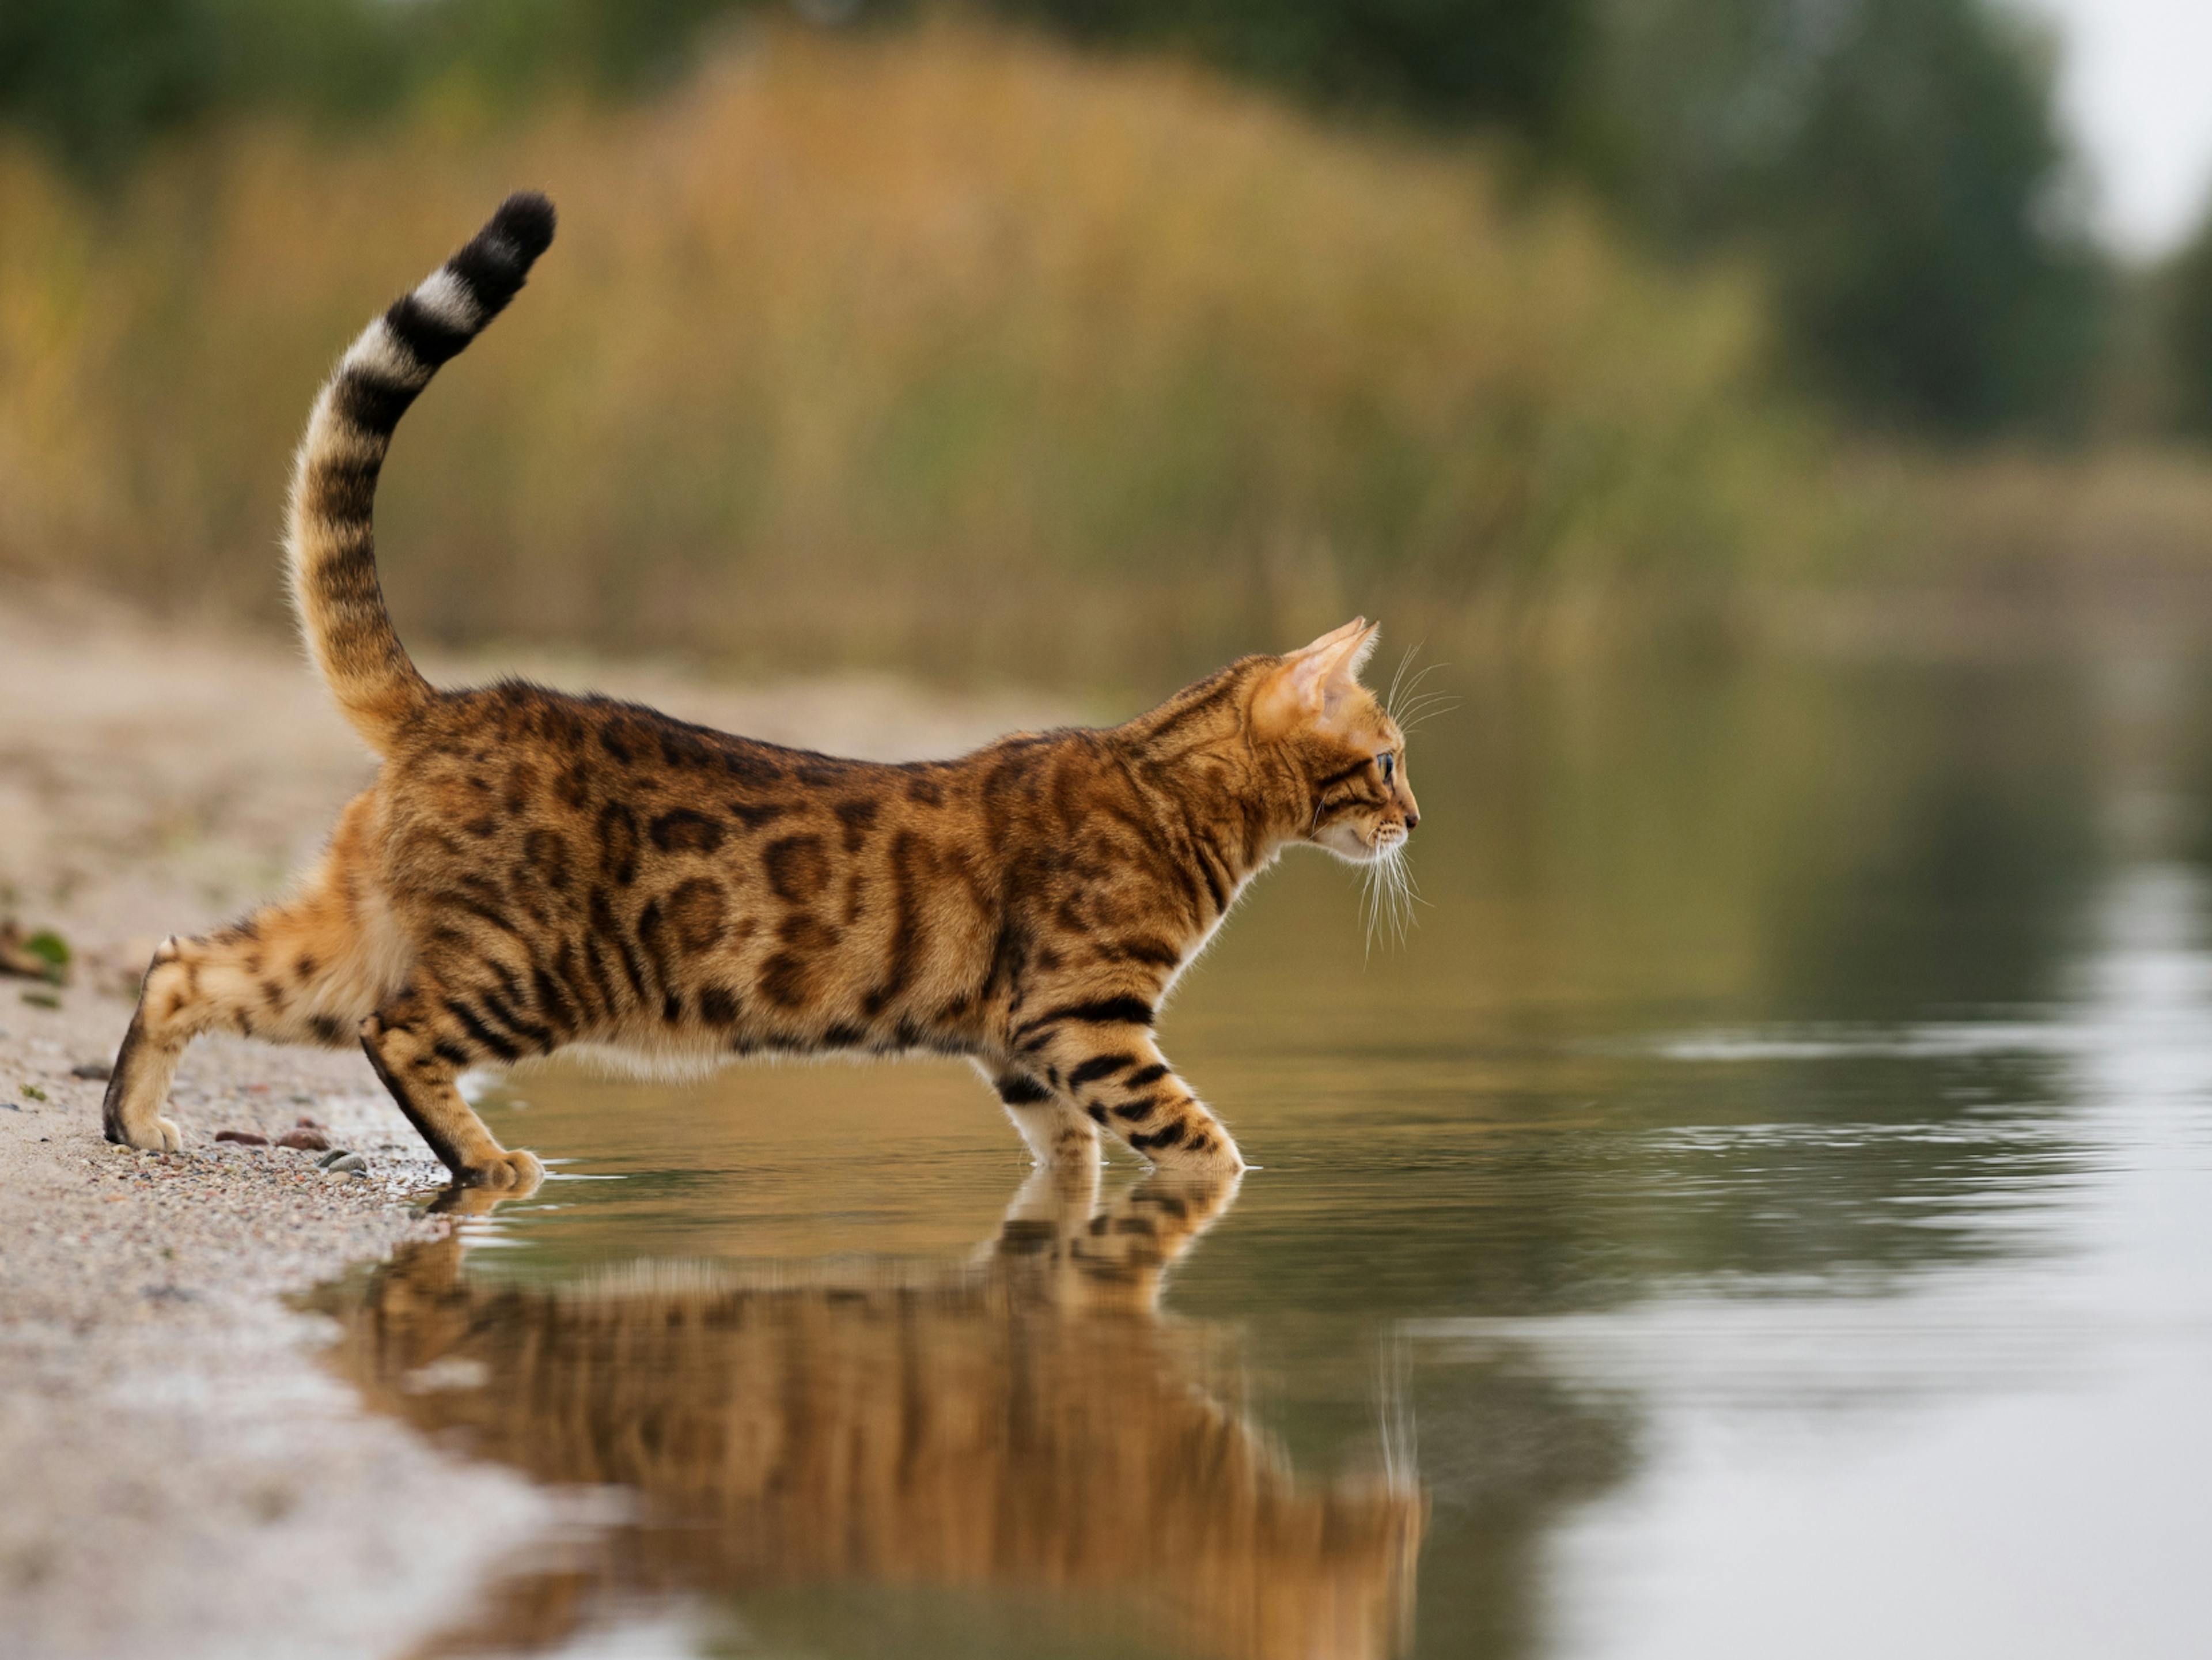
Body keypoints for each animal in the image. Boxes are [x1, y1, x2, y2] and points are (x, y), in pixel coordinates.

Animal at [99, 195, 1415, 1186]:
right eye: (1392, 757)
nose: (1415, 818)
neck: (1174, 790)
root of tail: (453, 706)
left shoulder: (1018, 1044)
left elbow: (1067, 1152)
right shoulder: (1082, 1017)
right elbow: (1196, 1138)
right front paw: (1223, 1187)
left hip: (353, 936)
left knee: (184, 962)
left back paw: (134, 1118)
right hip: (530, 971)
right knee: (398, 1034)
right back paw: (488, 1164)